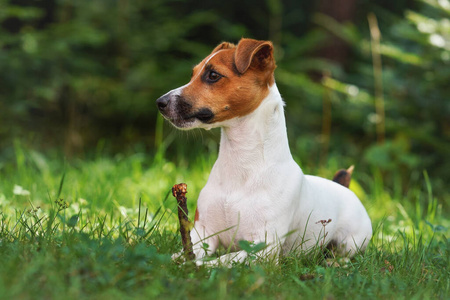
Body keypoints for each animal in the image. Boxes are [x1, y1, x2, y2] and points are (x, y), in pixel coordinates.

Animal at [156, 37, 370, 264]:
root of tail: (343, 187)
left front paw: (197, 266)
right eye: (193, 74)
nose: (160, 102)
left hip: (351, 242)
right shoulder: (204, 234)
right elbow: (186, 252)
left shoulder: (262, 248)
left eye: (213, 75)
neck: (242, 165)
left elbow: (222, 260)